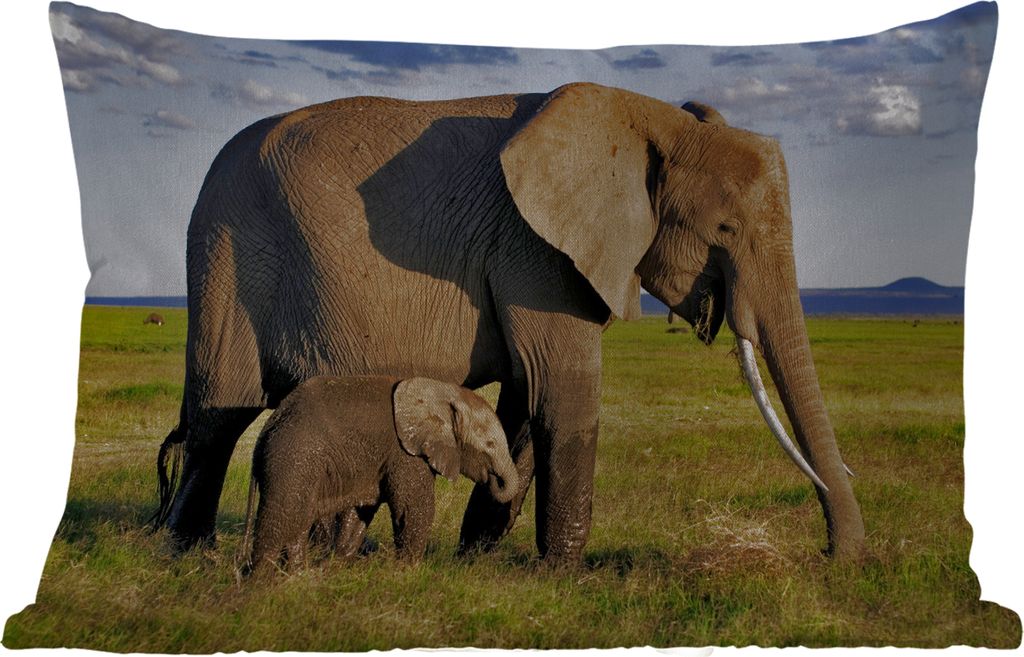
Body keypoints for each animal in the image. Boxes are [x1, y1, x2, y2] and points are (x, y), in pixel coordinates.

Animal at [239, 375, 520, 574]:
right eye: (490, 445)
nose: (493, 480)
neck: (443, 391)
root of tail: (267, 429)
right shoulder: (405, 453)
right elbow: (414, 508)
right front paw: (408, 571)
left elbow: (360, 512)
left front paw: (336, 565)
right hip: (293, 458)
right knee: (283, 517)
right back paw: (262, 585)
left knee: (298, 520)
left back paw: (297, 576)